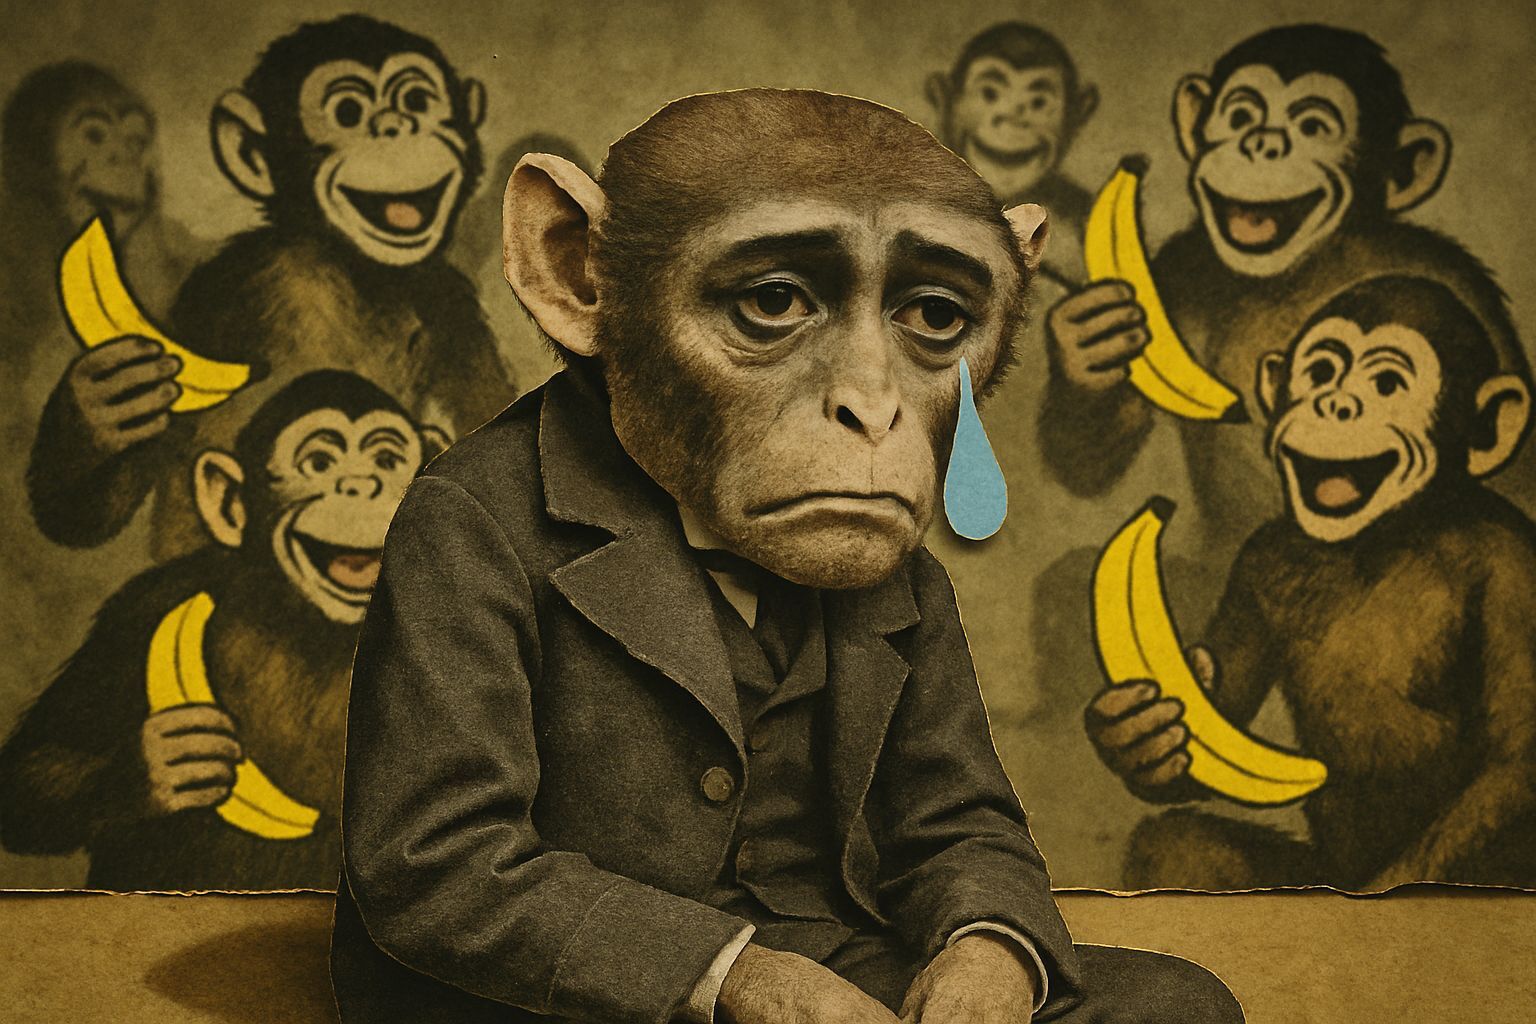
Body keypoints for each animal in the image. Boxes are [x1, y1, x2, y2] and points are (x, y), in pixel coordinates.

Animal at [0, 371, 437, 891]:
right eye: (319, 463)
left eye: (387, 460)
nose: (361, 484)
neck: (311, 624)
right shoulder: (144, 609)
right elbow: (33, 771)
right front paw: (164, 763)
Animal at [25, 15, 515, 562]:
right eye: (348, 112)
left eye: (417, 100)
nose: (394, 125)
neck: (356, 266)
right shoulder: (241, 288)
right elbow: (83, 513)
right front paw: (98, 414)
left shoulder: (452, 306)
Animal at [329, 87, 1242, 1024]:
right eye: (774, 300)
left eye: (934, 316)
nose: (871, 410)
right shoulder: (450, 538)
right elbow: (454, 850)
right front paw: (811, 998)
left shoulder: (925, 592)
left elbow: (965, 819)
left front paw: (972, 990)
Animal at [1039, 24, 1534, 580]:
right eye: (1240, 115)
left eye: (1313, 127)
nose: (1262, 142)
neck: (1297, 267)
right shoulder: (1178, 269)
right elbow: (1092, 452)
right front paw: (1086, 345)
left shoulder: (1452, 277)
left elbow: (1512, 478)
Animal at [1085, 275, 1536, 891]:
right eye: (1322, 371)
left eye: (1387, 384)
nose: (1336, 403)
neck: (1380, 538)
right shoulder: (1260, 557)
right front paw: (1138, 731)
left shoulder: (1512, 573)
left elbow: (1516, 766)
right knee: (1178, 846)